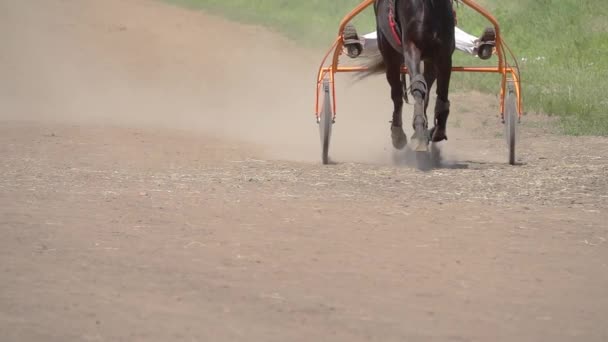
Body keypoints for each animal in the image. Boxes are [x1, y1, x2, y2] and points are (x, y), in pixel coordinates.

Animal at [358, 0, 454, 152]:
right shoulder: (411, 48)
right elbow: (417, 85)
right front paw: (419, 134)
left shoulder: (444, 53)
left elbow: (442, 92)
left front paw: (437, 130)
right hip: (389, 54)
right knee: (397, 94)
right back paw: (398, 134)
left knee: (426, 87)